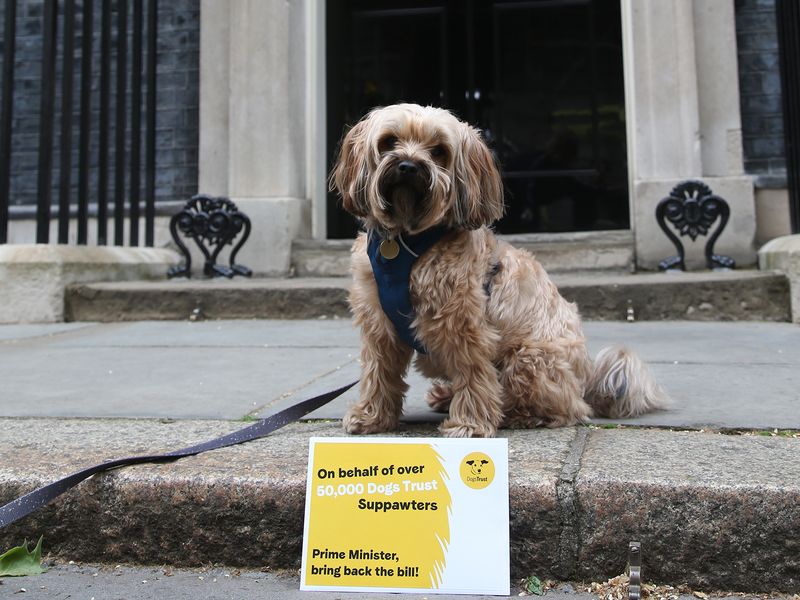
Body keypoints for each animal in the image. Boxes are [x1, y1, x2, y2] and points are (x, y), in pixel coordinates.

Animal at [330, 103, 668, 438]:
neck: (405, 241)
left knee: (565, 409)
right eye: (389, 141)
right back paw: (445, 396)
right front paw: (372, 416)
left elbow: (473, 374)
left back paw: (515, 415)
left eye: (439, 151)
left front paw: (469, 424)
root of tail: (586, 379)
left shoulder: (465, 326)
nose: (409, 166)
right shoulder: (379, 323)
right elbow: (379, 370)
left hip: (528, 358)